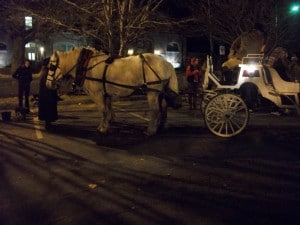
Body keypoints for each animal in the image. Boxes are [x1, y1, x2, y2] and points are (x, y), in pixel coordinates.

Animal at [46, 46, 182, 135]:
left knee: (155, 110)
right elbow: (108, 108)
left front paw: (103, 128)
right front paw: (109, 122)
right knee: (163, 108)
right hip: (159, 92)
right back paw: (161, 126)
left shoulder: (97, 94)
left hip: (152, 92)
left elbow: (103, 110)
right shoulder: (106, 93)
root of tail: (167, 63)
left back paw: (150, 131)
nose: (48, 85)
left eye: (51, 67)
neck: (86, 65)